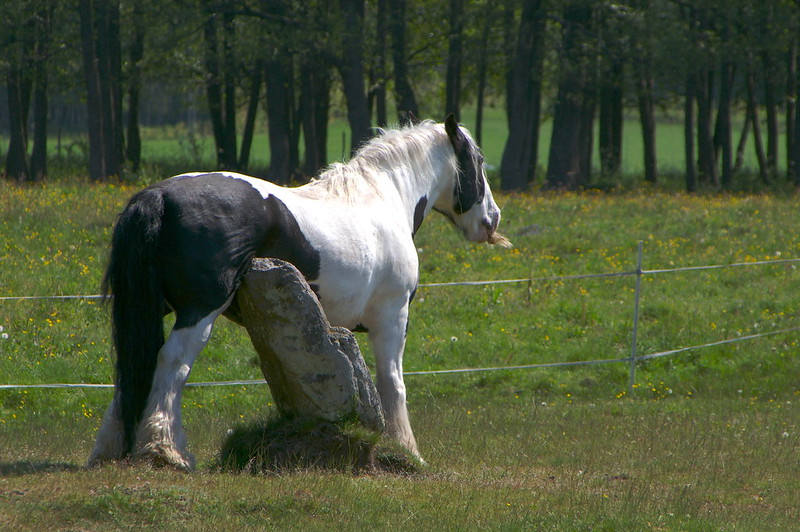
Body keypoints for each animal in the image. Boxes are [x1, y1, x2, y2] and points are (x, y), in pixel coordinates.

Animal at [88, 115, 508, 470]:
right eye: (478, 160)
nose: (492, 220)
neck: (383, 199)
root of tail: (159, 195)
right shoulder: (392, 317)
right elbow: (393, 383)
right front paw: (406, 450)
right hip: (198, 311)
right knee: (171, 363)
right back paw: (165, 450)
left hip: (147, 308)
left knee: (132, 366)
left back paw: (112, 448)